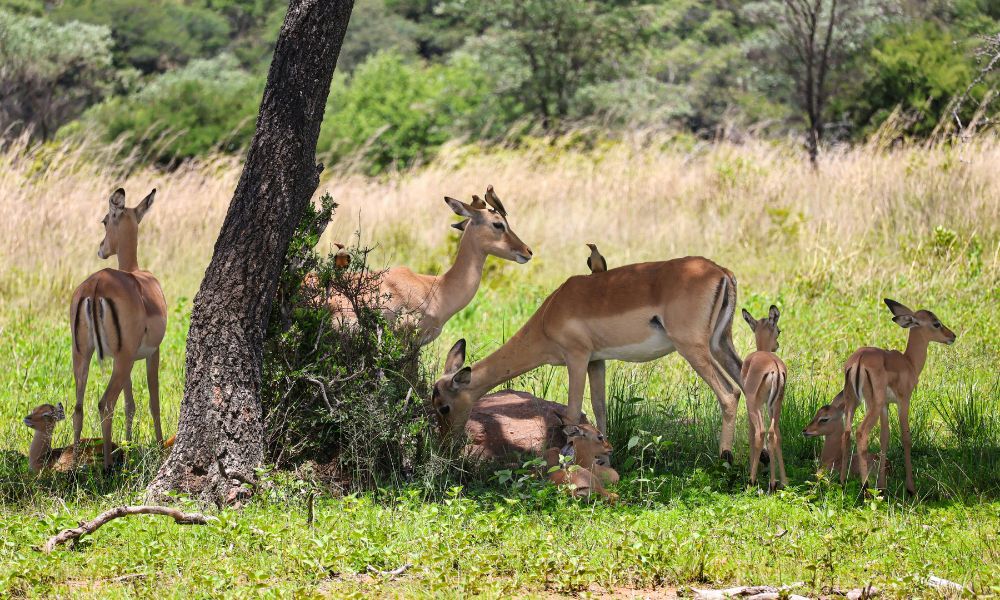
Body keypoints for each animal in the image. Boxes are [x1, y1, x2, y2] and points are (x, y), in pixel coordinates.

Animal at [70, 188, 167, 469]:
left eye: (104, 221)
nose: (101, 249)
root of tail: (96, 285)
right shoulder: (151, 353)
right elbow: (153, 401)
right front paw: (158, 446)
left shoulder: (125, 357)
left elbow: (130, 403)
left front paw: (128, 445)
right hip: (121, 360)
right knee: (105, 403)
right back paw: (107, 466)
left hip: (83, 354)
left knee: (78, 407)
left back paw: (75, 465)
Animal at [431, 256, 744, 462]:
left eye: (443, 407)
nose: (444, 446)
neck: (548, 315)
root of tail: (722, 272)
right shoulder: (597, 361)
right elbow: (599, 408)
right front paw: (604, 458)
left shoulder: (577, 358)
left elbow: (572, 414)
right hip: (720, 344)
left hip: (693, 348)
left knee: (730, 394)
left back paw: (725, 459)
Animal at [740, 306, 788, 490]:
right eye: (779, 330)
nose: (777, 345)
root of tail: (774, 367)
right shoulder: (768, 405)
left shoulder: (752, 404)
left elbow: (751, 434)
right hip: (776, 405)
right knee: (774, 433)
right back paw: (780, 483)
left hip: (754, 405)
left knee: (760, 432)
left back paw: (752, 481)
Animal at [839, 299, 956, 494]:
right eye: (936, 323)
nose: (952, 336)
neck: (909, 362)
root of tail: (859, 360)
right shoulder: (903, 400)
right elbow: (906, 438)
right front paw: (911, 488)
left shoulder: (886, 406)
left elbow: (885, 437)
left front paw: (882, 486)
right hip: (872, 404)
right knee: (861, 432)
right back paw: (865, 488)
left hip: (852, 401)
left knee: (846, 432)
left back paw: (842, 483)